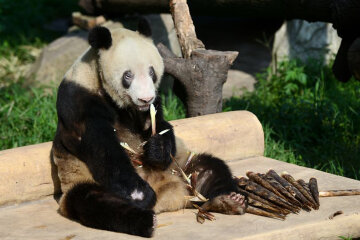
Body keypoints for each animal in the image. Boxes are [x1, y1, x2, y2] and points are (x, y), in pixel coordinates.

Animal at [51, 20, 248, 238]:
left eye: (152, 72)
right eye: (128, 75)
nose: (145, 98)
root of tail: (170, 199)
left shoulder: (152, 103)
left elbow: (159, 124)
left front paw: (156, 149)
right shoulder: (79, 100)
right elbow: (103, 149)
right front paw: (140, 195)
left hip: (181, 167)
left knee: (210, 168)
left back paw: (229, 200)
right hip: (81, 182)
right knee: (95, 202)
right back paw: (147, 219)